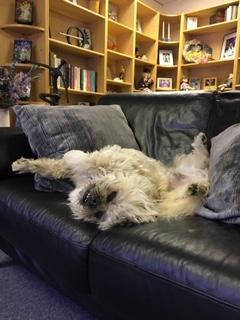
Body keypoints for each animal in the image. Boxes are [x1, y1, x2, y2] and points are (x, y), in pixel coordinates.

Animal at [12, 132, 209, 230]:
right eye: (112, 195)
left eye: (100, 215)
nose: (92, 202)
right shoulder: (101, 161)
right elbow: (55, 165)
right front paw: (22, 165)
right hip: (189, 165)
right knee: (203, 156)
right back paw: (201, 143)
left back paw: (198, 188)